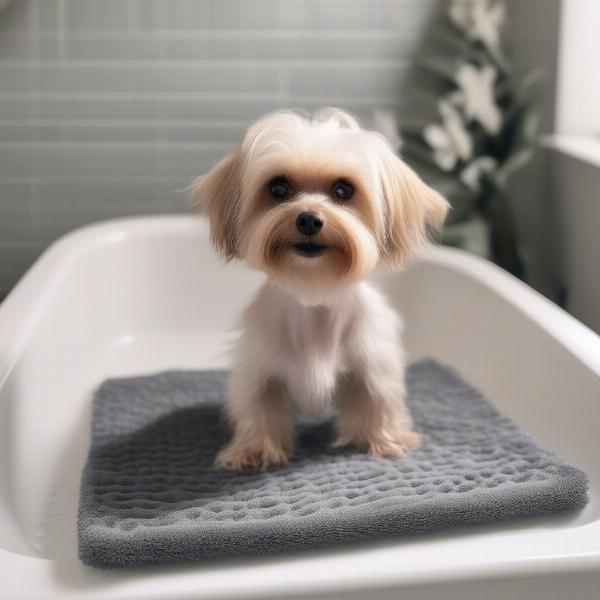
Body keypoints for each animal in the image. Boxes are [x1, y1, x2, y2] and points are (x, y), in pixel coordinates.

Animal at [190, 110, 448, 472]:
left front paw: (386, 439)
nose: (309, 219)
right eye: (278, 188)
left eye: (343, 190)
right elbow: (259, 409)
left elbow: (379, 400)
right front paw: (255, 450)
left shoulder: (372, 363)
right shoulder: (260, 370)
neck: (314, 299)